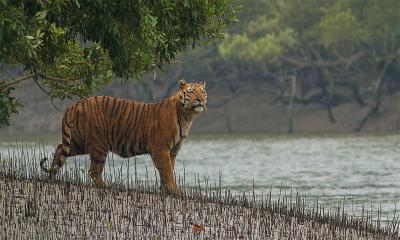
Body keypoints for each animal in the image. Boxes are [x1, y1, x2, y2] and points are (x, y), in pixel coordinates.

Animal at [41, 79, 208, 193]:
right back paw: (108, 186)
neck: (187, 116)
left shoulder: (172, 151)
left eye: (203, 91)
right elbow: (167, 171)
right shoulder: (161, 149)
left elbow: (167, 171)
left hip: (79, 142)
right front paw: (174, 191)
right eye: (191, 91)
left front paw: (165, 190)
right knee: (94, 171)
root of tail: (75, 104)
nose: (200, 99)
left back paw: (51, 177)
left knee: (59, 149)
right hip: (99, 145)